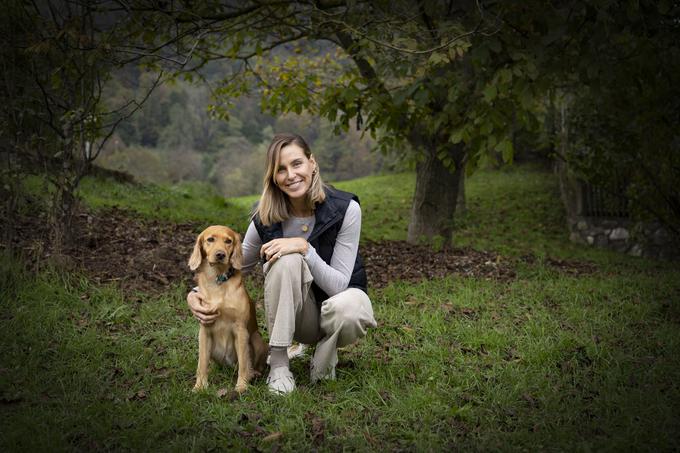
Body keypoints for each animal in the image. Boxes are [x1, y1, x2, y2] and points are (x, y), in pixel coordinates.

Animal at [190, 226, 270, 392]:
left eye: (228, 241)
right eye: (210, 239)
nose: (220, 254)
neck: (218, 280)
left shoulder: (240, 330)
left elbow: (244, 364)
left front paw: (241, 386)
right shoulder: (204, 330)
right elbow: (201, 363)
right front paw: (200, 387)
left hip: (256, 340)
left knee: (251, 364)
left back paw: (254, 374)